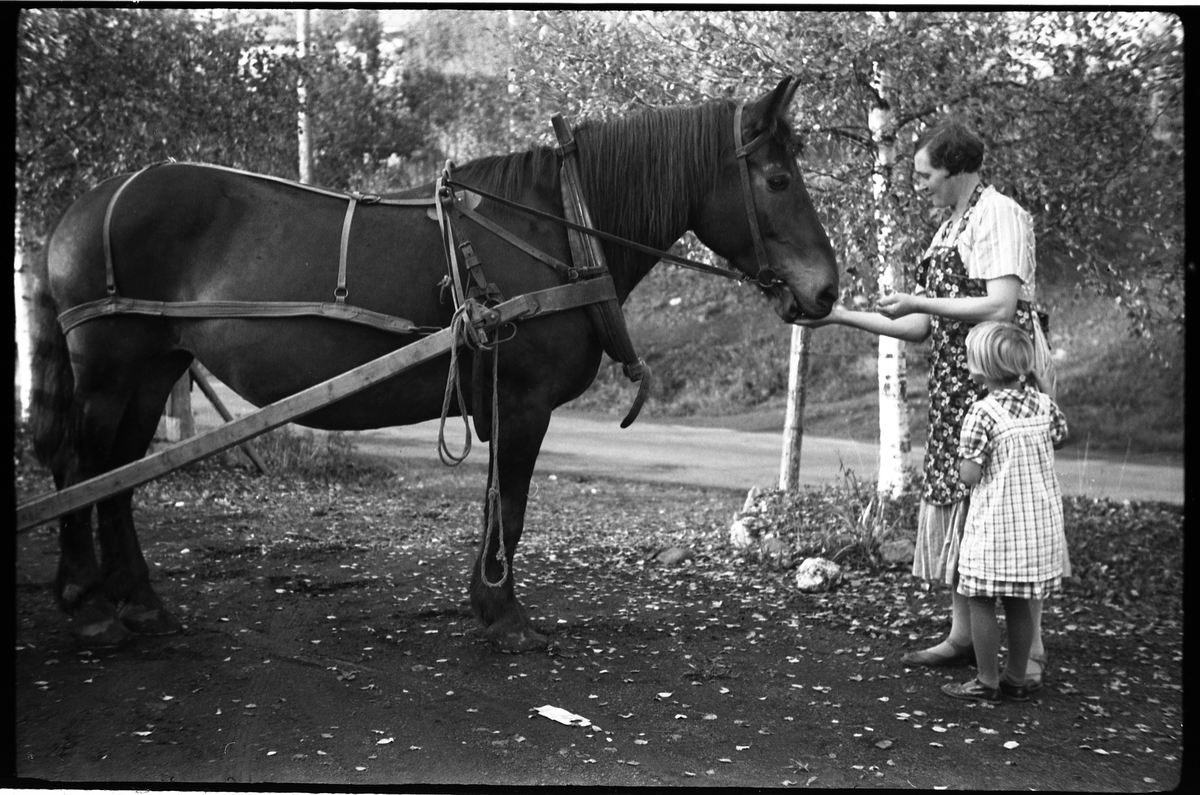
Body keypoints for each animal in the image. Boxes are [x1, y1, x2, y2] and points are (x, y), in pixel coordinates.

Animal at [28, 78, 835, 658]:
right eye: (777, 179)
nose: (828, 289)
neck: (559, 228)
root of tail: (82, 209)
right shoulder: (523, 402)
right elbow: (510, 505)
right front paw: (504, 615)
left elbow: (497, 504)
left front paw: (488, 603)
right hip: (110, 369)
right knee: (80, 467)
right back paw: (89, 604)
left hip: (153, 368)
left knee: (117, 476)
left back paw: (140, 602)